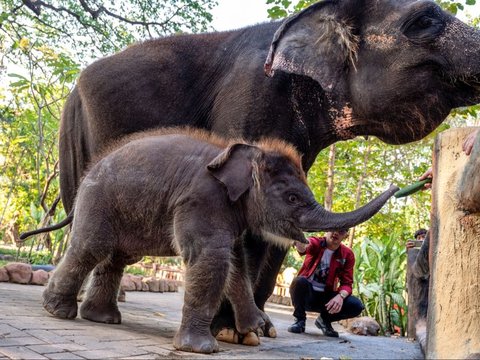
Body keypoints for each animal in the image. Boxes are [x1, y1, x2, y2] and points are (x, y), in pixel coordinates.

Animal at [41, 128, 396, 352]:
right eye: (293, 198)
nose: (397, 187)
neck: (247, 151)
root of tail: (89, 170)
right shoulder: (202, 199)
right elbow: (212, 257)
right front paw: (201, 348)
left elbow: (236, 262)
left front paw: (254, 330)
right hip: (98, 201)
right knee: (91, 248)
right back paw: (58, 311)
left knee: (117, 258)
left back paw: (102, 318)